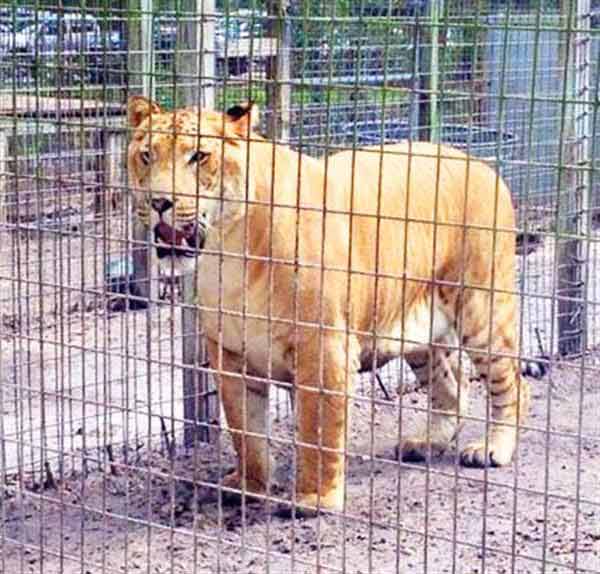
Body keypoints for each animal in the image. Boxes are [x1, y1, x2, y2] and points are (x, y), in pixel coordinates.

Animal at [127, 98, 528, 516]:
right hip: (418, 335)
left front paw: (314, 498)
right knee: (453, 389)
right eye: (146, 155)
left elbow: (318, 426)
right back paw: (425, 443)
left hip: (483, 309)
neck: (228, 250)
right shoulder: (230, 353)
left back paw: (492, 449)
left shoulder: (323, 346)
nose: (159, 202)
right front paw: (249, 486)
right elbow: (245, 431)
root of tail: (479, 163)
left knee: (513, 383)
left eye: (200, 156)